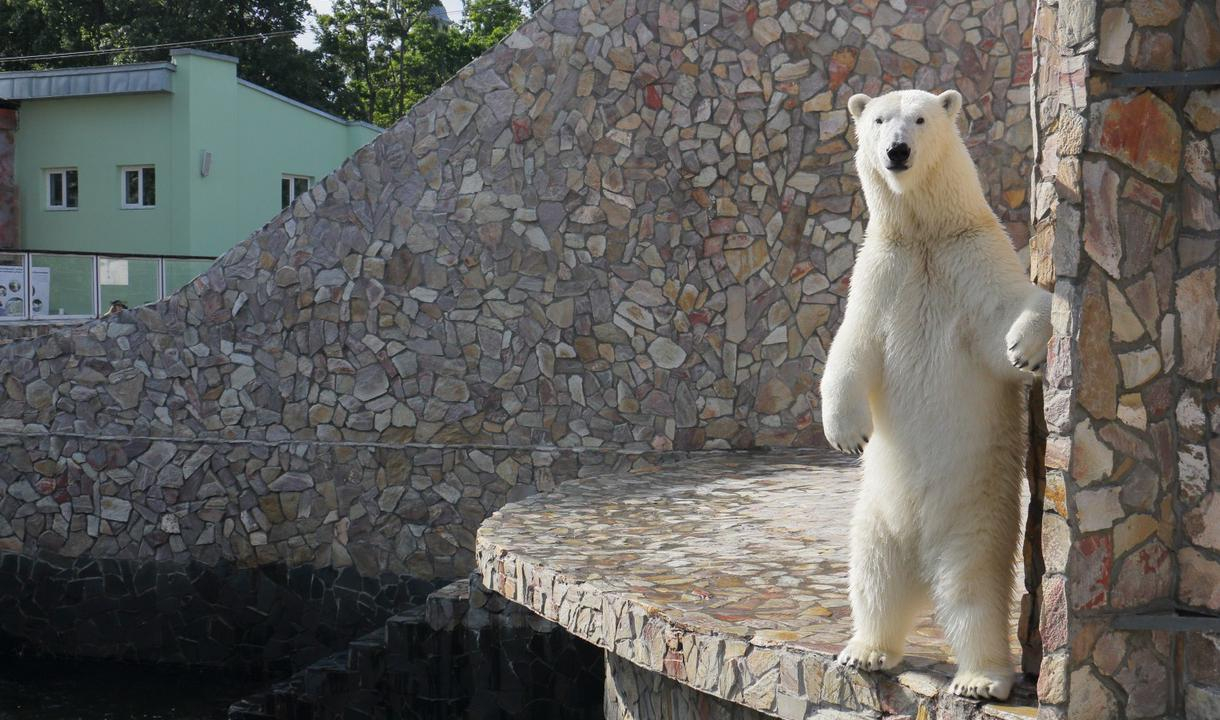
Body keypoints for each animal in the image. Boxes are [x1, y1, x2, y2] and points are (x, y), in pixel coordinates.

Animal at [824, 87, 1054, 702]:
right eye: (879, 120)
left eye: (921, 119)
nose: (897, 150)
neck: (926, 233)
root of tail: (922, 564)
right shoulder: (883, 270)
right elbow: (851, 347)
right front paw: (847, 434)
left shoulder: (972, 259)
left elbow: (1010, 316)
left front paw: (1026, 349)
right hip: (876, 515)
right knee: (873, 575)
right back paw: (865, 649)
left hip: (977, 518)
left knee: (975, 594)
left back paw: (981, 679)